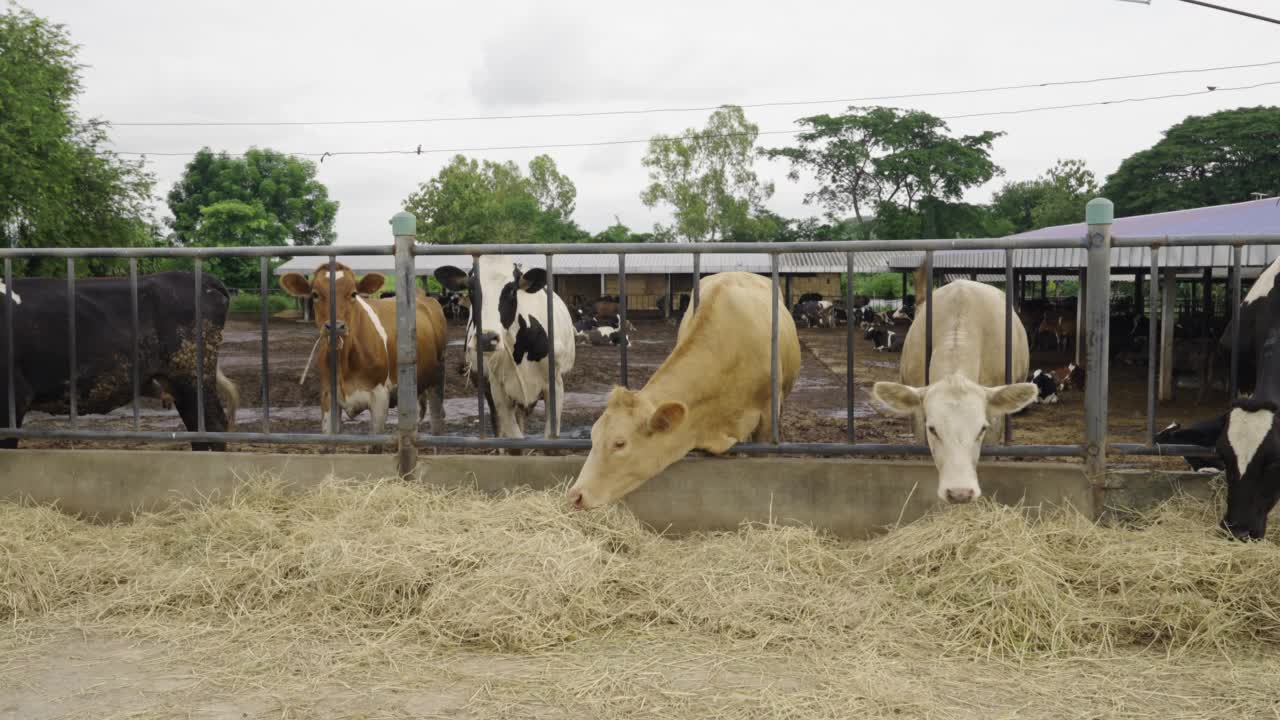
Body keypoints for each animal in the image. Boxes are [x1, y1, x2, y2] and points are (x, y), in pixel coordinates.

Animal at [282, 262, 448, 435]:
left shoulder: (380, 397)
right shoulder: (327, 395)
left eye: (353, 294)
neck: (345, 361)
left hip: (438, 374)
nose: (336, 326)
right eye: (315, 294)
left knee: (437, 417)